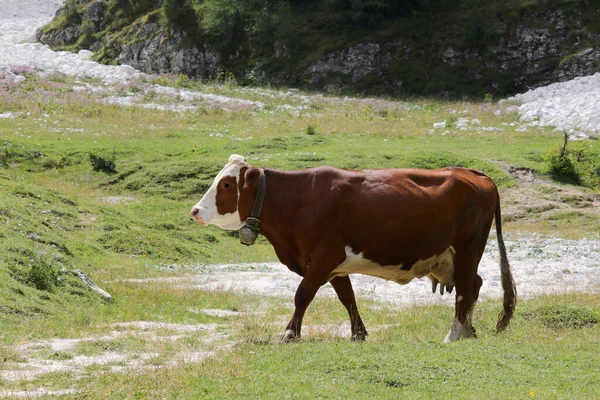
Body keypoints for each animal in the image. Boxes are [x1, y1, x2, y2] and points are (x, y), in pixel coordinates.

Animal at [191, 155, 516, 342]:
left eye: (227, 184)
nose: (195, 211)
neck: (296, 200)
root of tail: (473, 174)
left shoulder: (323, 257)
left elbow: (302, 295)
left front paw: (289, 333)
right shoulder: (334, 264)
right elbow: (347, 298)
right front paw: (359, 333)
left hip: (468, 248)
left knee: (465, 290)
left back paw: (454, 335)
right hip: (453, 256)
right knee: (473, 285)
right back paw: (469, 332)